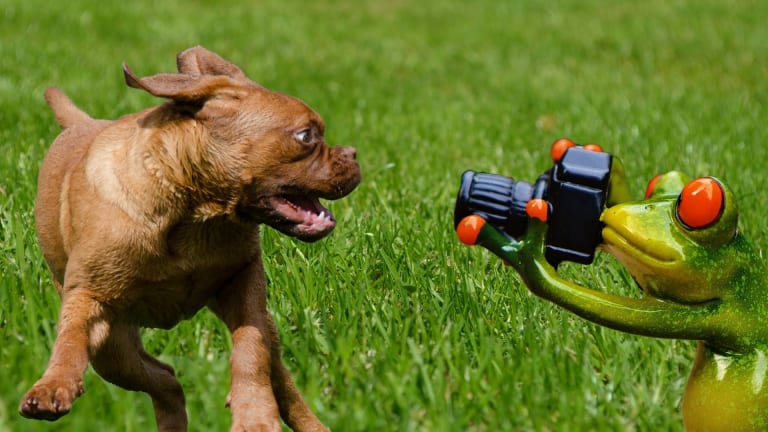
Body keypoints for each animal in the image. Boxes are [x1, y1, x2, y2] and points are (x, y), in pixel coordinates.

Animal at [20, 45, 364, 430]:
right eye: (306, 136)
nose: (353, 154)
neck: (193, 211)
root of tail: (82, 122)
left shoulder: (245, 287)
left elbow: (250, 350)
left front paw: (254, 413)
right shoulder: (87, 298)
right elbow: (70, 339)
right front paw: (53, 384)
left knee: (278, 383)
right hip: (114, 351)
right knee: (164, 378)